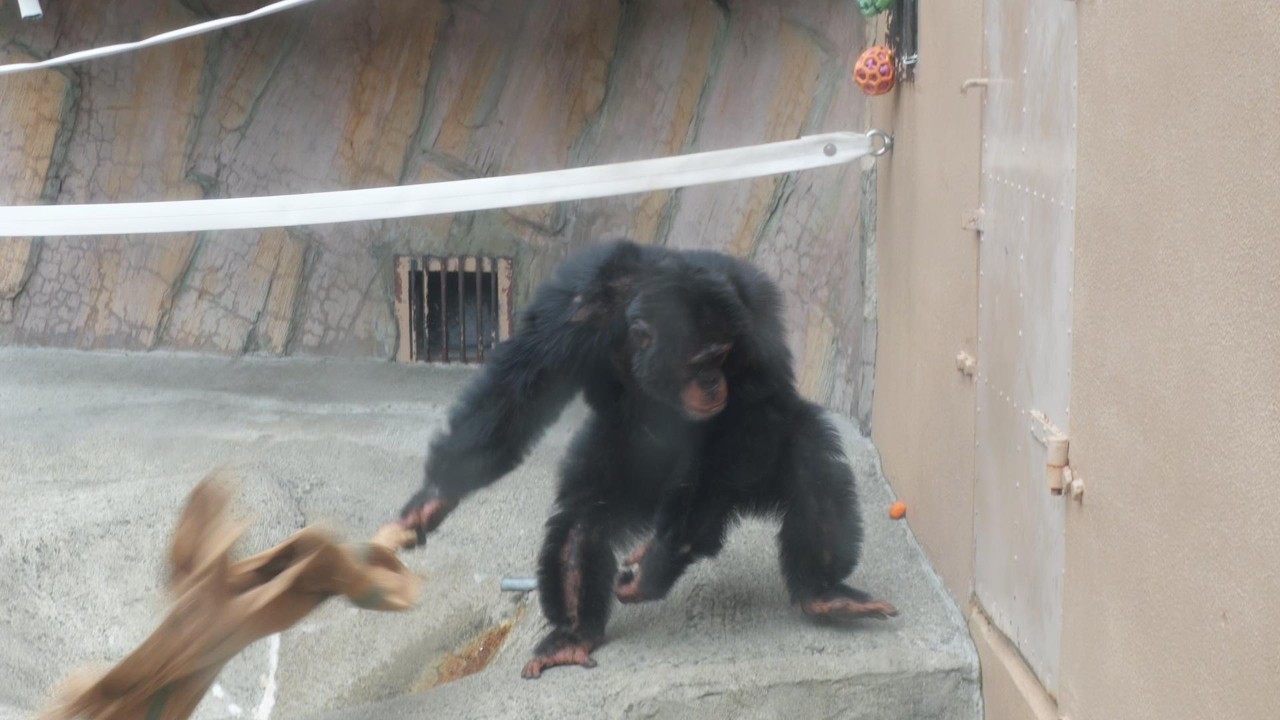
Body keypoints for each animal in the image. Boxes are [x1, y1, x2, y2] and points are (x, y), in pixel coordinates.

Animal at [399, 240, 896, 678]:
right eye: (702, 362)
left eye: (724, 355)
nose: (714, 383)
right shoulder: (571, 309)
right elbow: (520, 390)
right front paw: (437, 494)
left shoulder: (753, 318)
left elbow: (748, 418)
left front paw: (657, 566)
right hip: (629, 464)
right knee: (582, 521)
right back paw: (573, 633)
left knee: (809, 460)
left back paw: (823, 591)